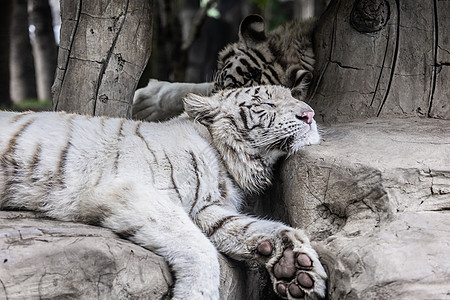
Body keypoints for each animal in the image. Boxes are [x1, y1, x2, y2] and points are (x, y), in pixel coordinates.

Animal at [0, 85, 326, 300]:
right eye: (265, 104)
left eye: (293, 95)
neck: (225, 161)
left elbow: (251, 228)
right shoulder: (132, 190)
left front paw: (296, 267)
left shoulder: (207, 210)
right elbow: (199, 248)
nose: (310, 114)